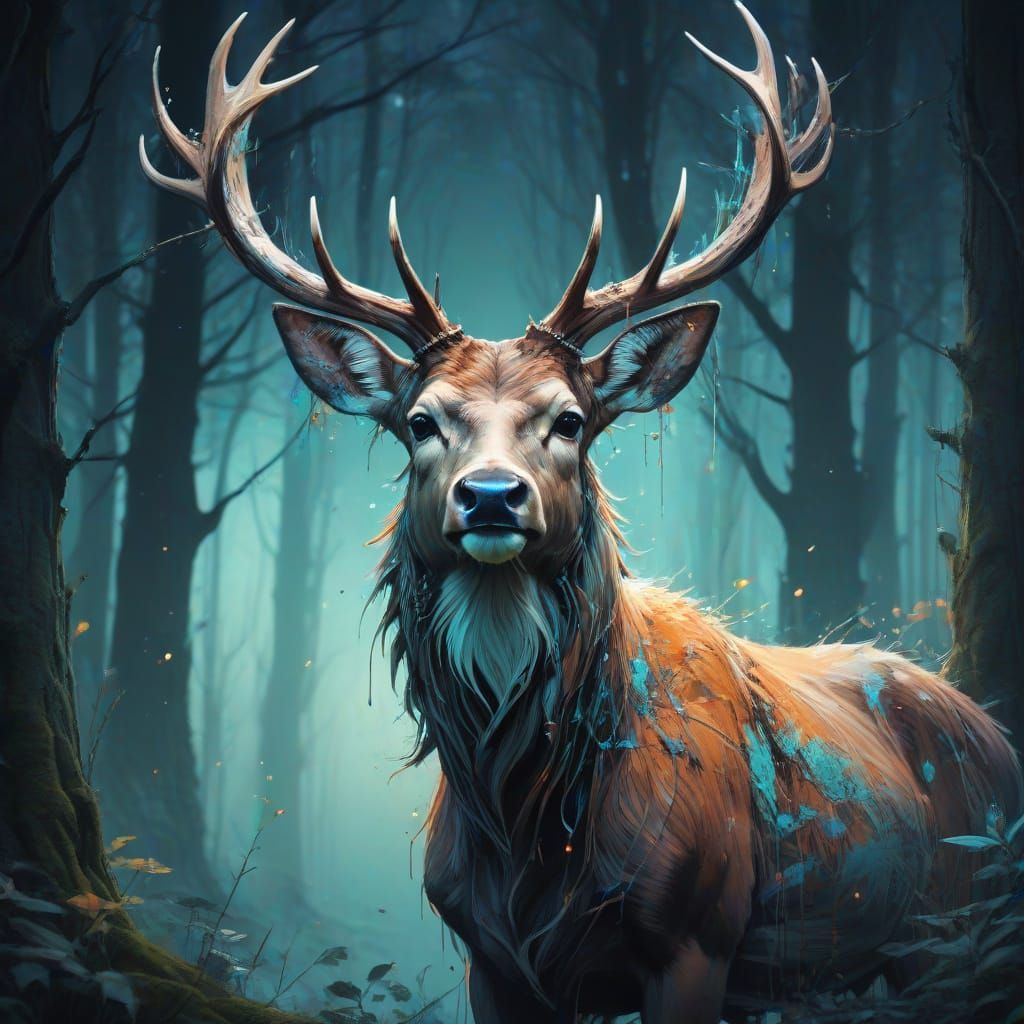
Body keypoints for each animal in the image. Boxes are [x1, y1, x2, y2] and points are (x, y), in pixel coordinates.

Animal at [140, 5, 1022, 1022]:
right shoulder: (489, 959)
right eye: (419, 422)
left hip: (963, 928)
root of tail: (996, 731)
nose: (490, 495)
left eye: (568, 419)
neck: (529, 832)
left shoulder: (699, 934)